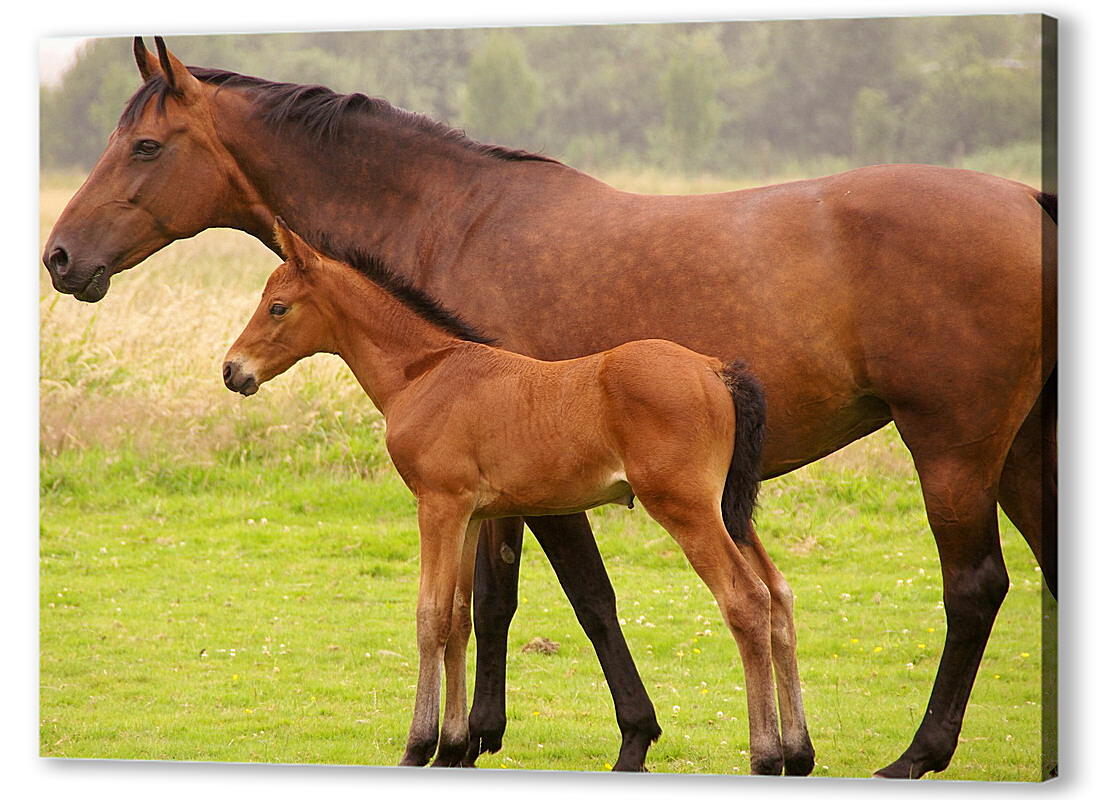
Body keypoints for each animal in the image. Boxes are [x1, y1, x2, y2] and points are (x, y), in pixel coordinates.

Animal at [224, 219, 811, 771]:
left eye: (277, 307)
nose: (232, 370)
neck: (425, 372)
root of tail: (716, 369)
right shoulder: (470, 515)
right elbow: (459, 618)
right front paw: (452, 747)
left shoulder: (438, 505)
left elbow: (430, 616)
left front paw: (418, 746)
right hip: (729, 511)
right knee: (779, 595)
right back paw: (798, 754)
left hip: (686, 509)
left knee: (746, 599)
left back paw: (765, 757)